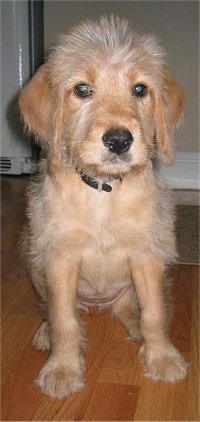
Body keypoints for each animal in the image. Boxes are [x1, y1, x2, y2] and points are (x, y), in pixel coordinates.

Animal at [19, 17, 189, 398]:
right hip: (33, 258)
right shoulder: (59, 259)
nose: (119, 140)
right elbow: (64, 320)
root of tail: (97, 306)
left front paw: (162, 357)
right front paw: (63, 368)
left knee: (135, 310)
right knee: (53, 310)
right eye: (82, 89)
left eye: (140, 89)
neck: (104, 192)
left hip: (130, 287)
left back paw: (138, 330)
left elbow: (155, 313)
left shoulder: (147, 255)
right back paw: (44, 332)